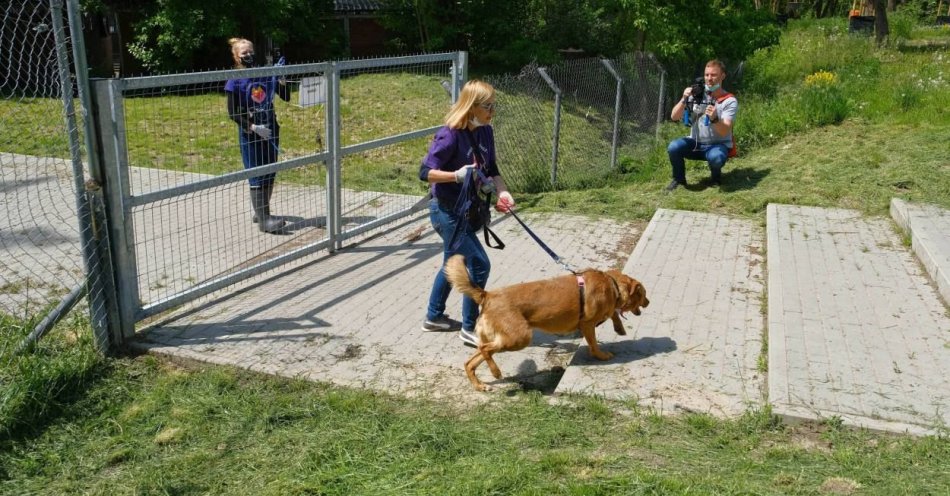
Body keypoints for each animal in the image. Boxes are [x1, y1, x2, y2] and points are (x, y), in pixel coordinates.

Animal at [446, 256, 648, 392]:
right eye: (643, 294)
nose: (649, 302)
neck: (612, 284)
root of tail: (487, 295)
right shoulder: (588, 324)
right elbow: (594, 344)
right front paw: (601, 355)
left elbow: (613, 313)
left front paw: (619, 327)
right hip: (520, 337)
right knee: (485, 349)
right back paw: (496, 373)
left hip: (501, 339)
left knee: (471, 360)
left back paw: (480, 385)